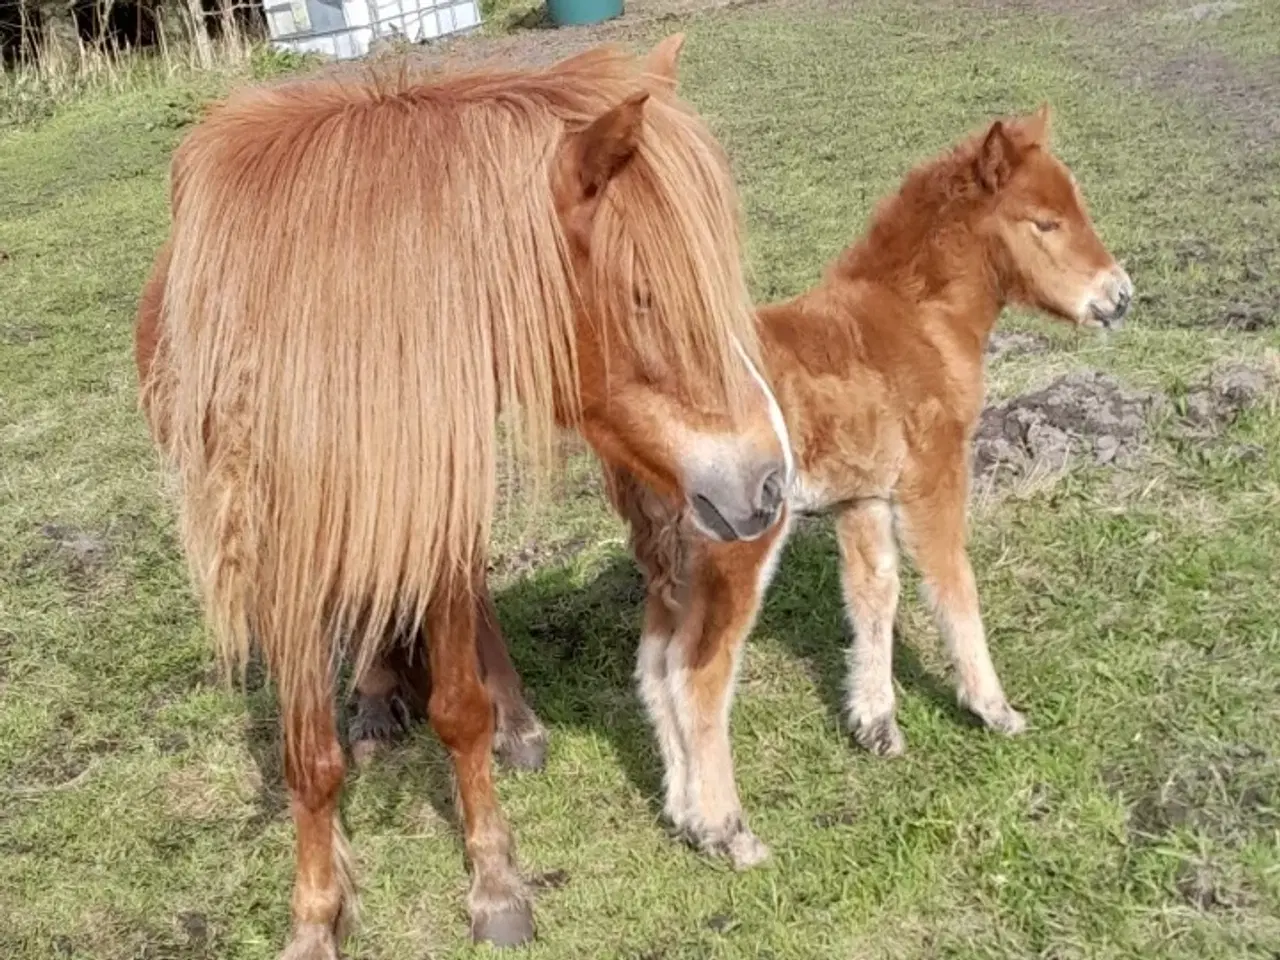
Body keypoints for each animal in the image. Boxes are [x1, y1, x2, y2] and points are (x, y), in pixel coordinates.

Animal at [132, 33, 788, 957]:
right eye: (644, 297)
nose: (768, 481)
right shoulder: (275, 554)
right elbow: (308, 756)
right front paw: (315, 915)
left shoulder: (437, 498)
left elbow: (458, 708)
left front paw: (495, 881)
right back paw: (376, 695)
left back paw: (516, 721)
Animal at [360, 103, 1131, 865]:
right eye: (1045, 222)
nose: (1119, 295)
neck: (913, 321)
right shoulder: (931, 478)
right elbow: (953, 588)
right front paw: (994, 709)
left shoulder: (861, 497)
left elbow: (873, 595)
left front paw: (875, 723)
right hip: (737, 545)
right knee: (697, 673)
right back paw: (726, 828)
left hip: (671, 556)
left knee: (656, 665)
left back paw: (684, 813)